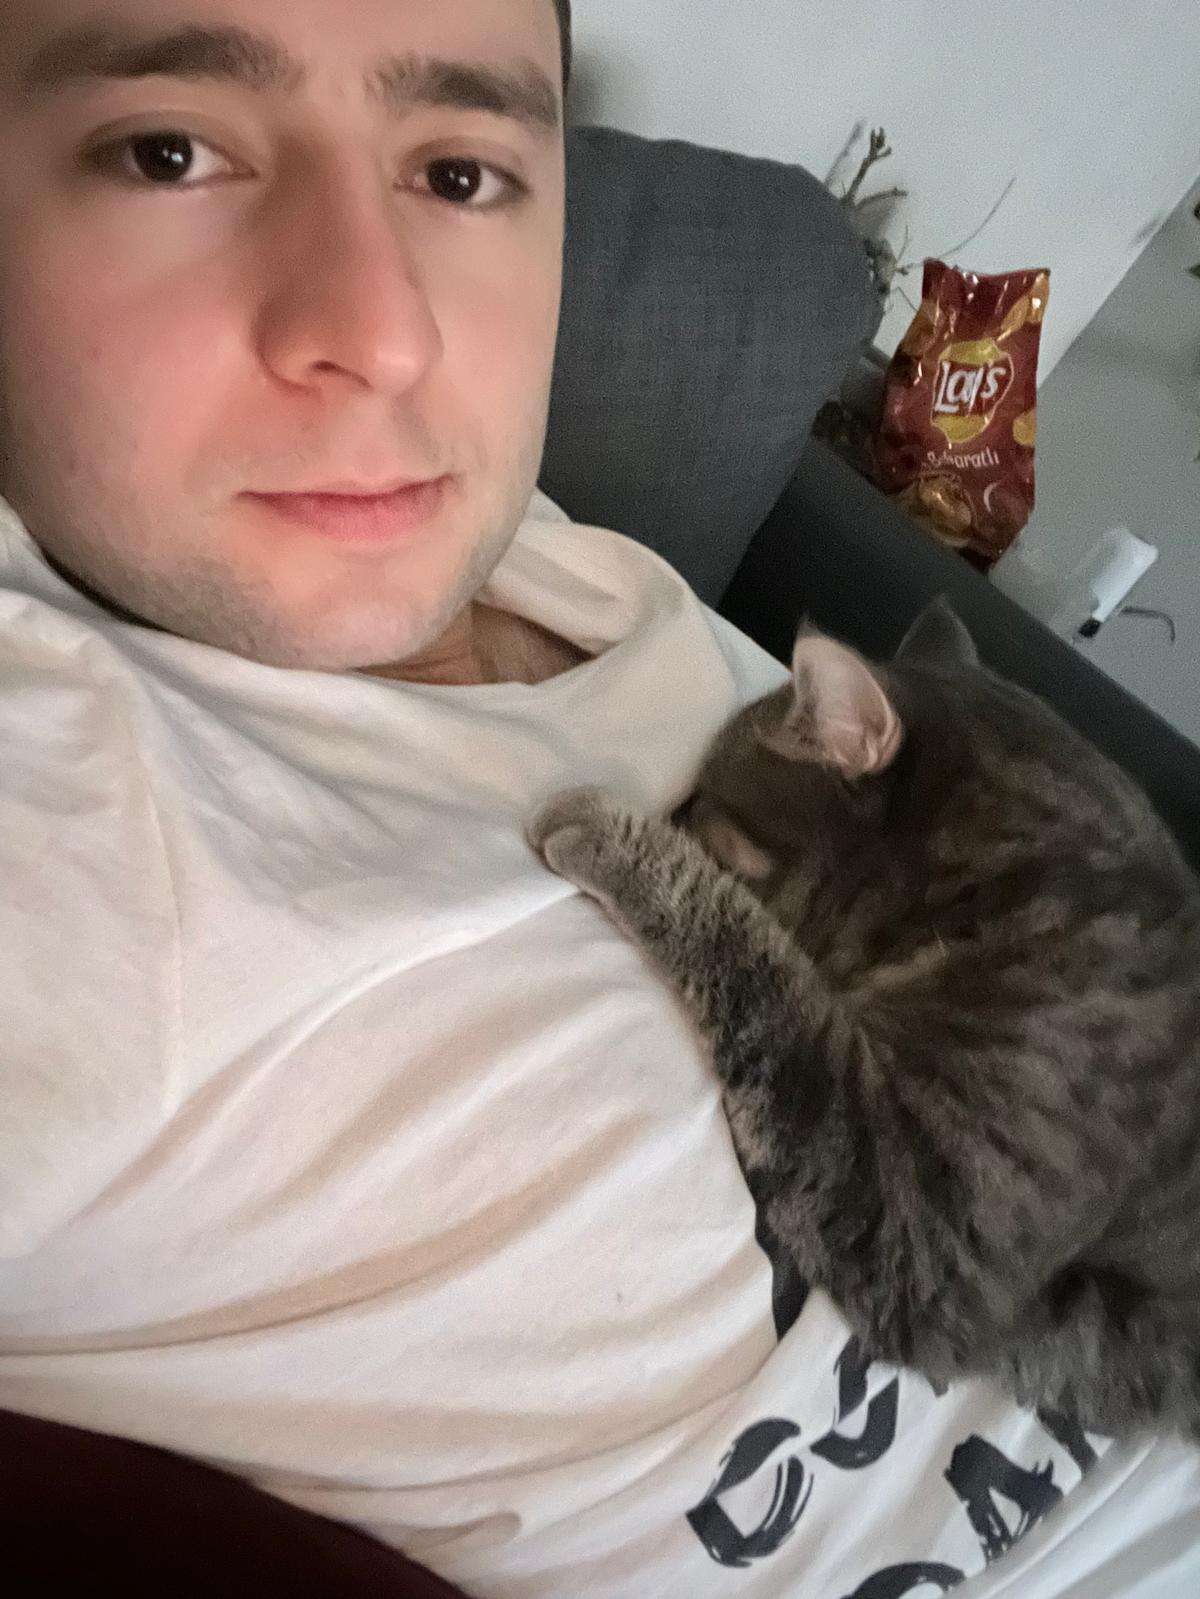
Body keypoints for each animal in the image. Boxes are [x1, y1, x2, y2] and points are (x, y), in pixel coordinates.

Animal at [528, 598, 1200, 1440]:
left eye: (703, 802)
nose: (667, 806)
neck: (1013, 886)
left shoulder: (923, 1234)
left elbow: (754, 953)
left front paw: (609, 831)